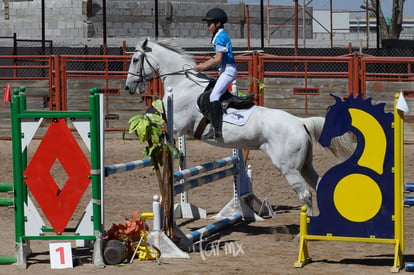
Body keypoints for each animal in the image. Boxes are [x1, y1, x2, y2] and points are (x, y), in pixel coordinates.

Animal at [123, 38, 352, 216]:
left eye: (135, 60)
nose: (128, 87)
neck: (182, 83)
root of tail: (300, 122)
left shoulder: (178, 125)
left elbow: (151, 116)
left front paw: (142, 131)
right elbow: (151, 114)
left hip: (289, 167)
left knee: (305, 194)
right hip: (305, 165)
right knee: (319, 184)